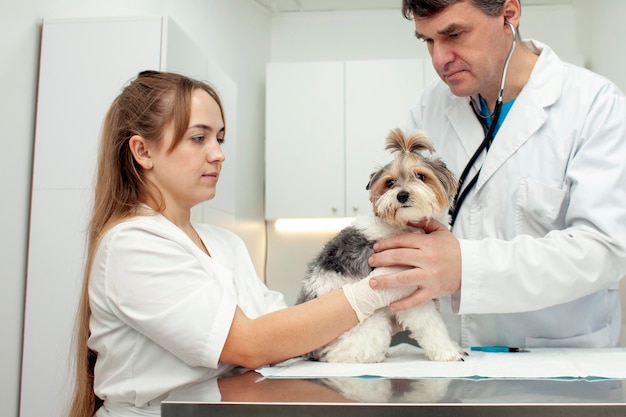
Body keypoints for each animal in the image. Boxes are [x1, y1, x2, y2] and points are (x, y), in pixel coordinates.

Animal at [298, 128, 464, 362]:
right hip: (369, 326)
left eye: (421, 176)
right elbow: (432, 326)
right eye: (390, 183)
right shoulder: (408, 294)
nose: (402, 195)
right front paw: (448, 351)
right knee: (338, 354)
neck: (404, 225)